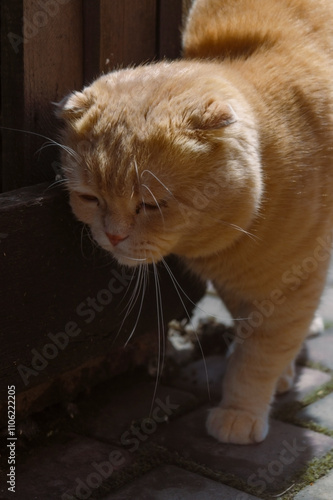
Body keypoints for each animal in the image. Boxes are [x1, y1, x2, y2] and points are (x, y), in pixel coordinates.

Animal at [55, 0, 332, 446]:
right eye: (90, 198)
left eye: (151, 205)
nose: (112, 235)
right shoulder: (239, 284)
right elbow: (254, 332)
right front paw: (280, 375)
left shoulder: (292, 284)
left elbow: (260, 355)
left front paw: (241, 410)